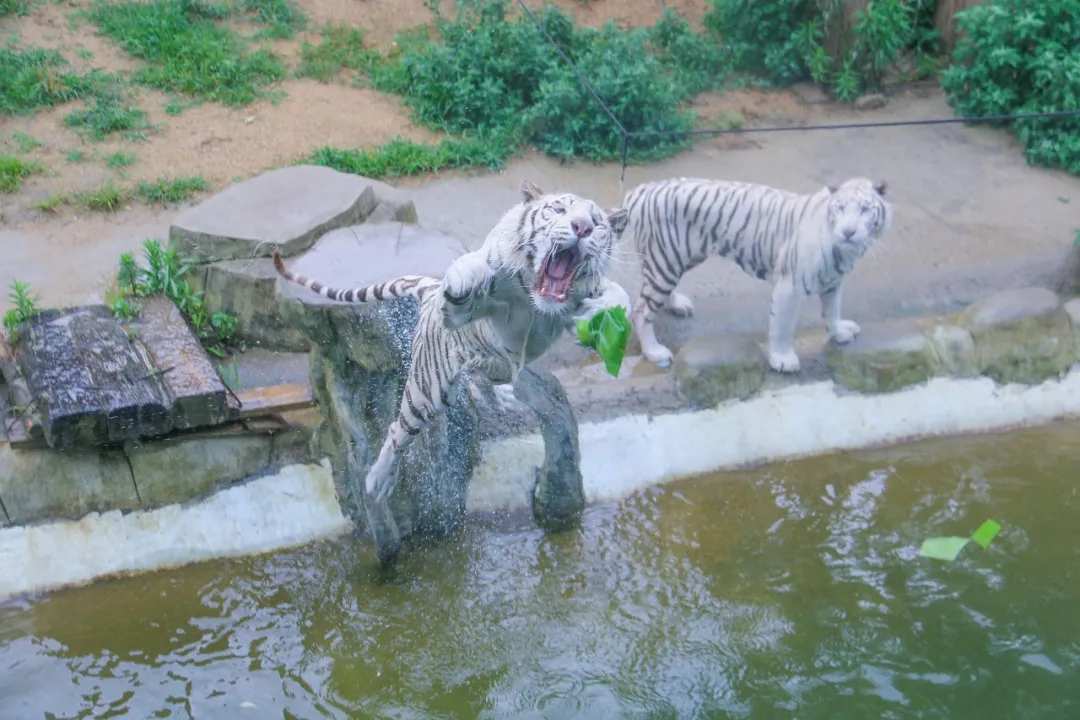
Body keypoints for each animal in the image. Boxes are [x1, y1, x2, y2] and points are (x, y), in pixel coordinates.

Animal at [272, 180, 630, 561]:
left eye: (597, 221)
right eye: (559, 210)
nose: (582, 228)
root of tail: (426, 292)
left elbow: (618, 294)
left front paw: (603, 309)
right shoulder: (463, 313)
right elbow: (470, 288)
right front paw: (469, 273)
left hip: (491, 365)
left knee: (490, 379)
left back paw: (503, 397)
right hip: (427, 389)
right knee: (397, 430)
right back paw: (378, 480)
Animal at [626, 177, 894, 375]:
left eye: (865, 210)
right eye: (840, 208)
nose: (848, 231)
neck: (846, 252)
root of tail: (643, 189)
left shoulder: (833, 281)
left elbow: (833, 309)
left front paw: (839, 332)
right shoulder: (790, 285)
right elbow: (783, 326)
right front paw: (782, 360)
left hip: (677, 260)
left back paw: (676, 304)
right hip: (666, 261)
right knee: (641, 311)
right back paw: (654, 351)